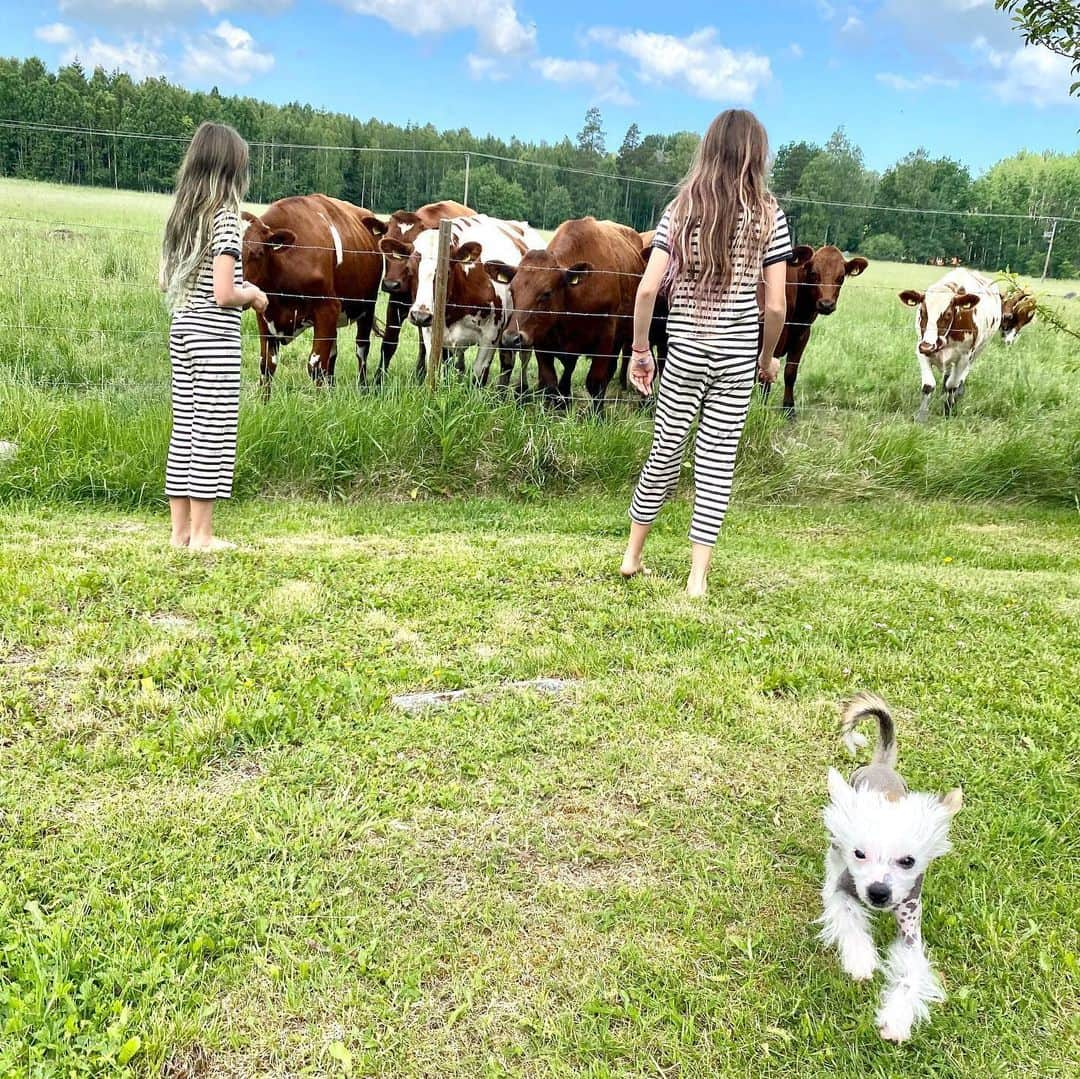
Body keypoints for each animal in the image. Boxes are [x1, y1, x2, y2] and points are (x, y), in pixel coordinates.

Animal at [244, 196, 384, 395]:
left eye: (258, 253)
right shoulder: (264, 314)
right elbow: (266, 366)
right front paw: (264, 400)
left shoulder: (327, 309)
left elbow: (316, 366)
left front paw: (319, 401)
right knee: (333, 354)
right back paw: (332, 390)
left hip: (367, 307)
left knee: (362, 350)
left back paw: (362, 389)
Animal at [494, 217, 643, 410]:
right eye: (512, 290)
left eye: (547, 293)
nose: (511, 338)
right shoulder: (542, 339)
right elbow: (550, 381)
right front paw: (554, 407)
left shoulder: (606, 338)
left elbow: (595, 381)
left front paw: (597, 413)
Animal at [768, 246, 868, 416]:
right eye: (814, 273)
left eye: (841, 277)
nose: (826, 304)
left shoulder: (802, 335)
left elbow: (790, 373)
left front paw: (789, 409)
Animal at [816, 695, 963, 1041]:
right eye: (860, 854)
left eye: (907, 861)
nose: (878, 892)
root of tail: (881, 766)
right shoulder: (845, 889)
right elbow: (848, 917)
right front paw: (860, 960)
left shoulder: (910, 927)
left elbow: (910, 973)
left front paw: (896, 1020)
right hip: (835, 836)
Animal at [894, 268, 1002, 421]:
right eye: (922, 311)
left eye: (948, 314)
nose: (928, 346)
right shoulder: (920, 349)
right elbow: (928, 385)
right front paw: (921, 416)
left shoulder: (964, 356)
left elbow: (952, 385)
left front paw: (948, 411)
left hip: (978, 351)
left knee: (961, 376)